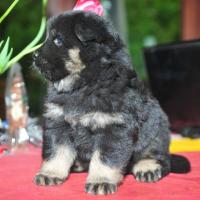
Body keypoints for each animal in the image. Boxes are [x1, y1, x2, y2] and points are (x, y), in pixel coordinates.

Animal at [32, 10, 170, 195]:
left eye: (58, 40)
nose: (34, 56)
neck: (84, 84)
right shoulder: (58, 123)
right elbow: (56, 151)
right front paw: (50, 173)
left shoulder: (114, 127)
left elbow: (104, 158)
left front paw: (100, 181)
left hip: (156, 130)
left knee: (158, 155)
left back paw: (147, 167)